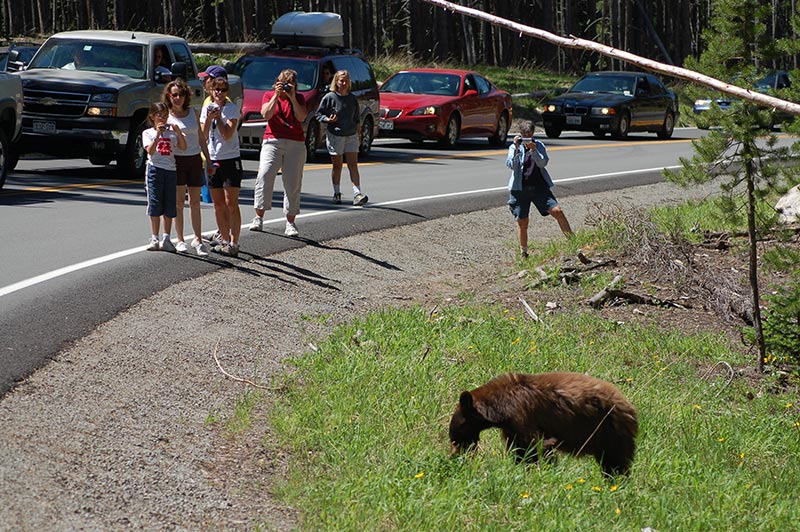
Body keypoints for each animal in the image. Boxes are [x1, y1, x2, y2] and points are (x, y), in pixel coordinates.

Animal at [450, 372, 636, 476]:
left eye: (456, 432)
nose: (454, 455)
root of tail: (629, 407)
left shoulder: (521, 415)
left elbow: (535, 445)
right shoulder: (511, 428)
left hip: (610, 431)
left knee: (615, 461)